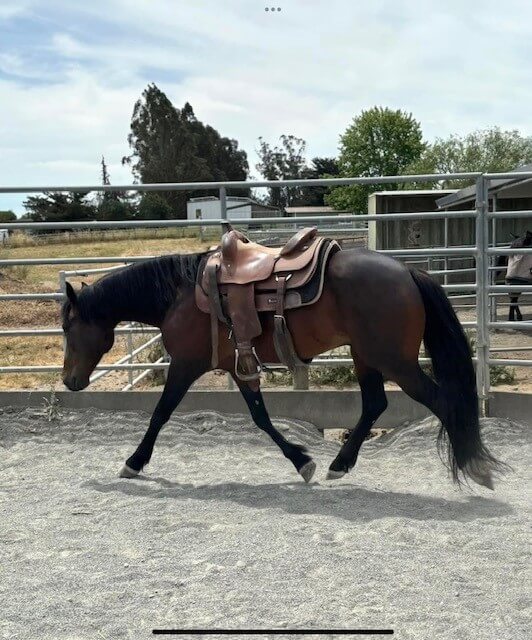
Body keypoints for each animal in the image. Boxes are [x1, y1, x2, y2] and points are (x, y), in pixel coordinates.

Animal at [61, 242, 502, 488]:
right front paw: (303, 462)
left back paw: (475, 466)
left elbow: (160, 414)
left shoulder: (185, 365)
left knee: (440, 402)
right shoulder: (237, 365)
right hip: (366, 357)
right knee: (375, 405)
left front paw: (133, 463)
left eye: (68, 326)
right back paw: (339, 465)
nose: (68, 380)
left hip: (395, 362)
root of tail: (409, 272)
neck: (181, 294)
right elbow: (261, 418)